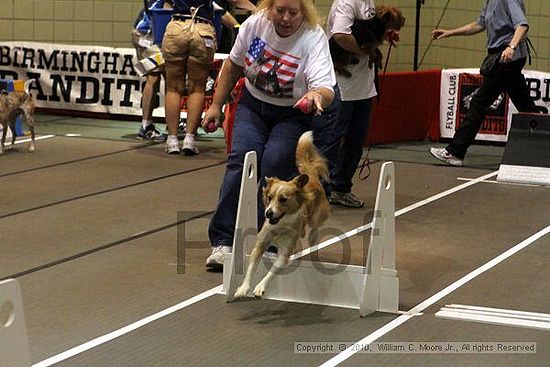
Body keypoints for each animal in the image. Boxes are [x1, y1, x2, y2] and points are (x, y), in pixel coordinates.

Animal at [234, 132, 330, 300]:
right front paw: (243, 288)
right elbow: (251, 268)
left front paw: (260, 287)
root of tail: (310, 176)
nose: (268, 212)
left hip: (315, 219)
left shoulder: (284, 253)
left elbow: (271, 272)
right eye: (270, 197)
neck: (280, 225)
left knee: (315, 231)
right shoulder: (260, 244)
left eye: (283, 199)